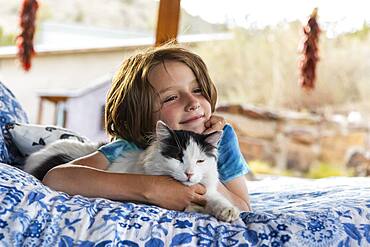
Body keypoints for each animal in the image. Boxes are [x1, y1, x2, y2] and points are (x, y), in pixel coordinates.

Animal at [24, 120, 241, 221]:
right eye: (179, 158)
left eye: (200, 161)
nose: (189, 173)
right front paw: (196, 208)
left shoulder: (207, 190)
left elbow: (216, 199)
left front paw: (228, 211)